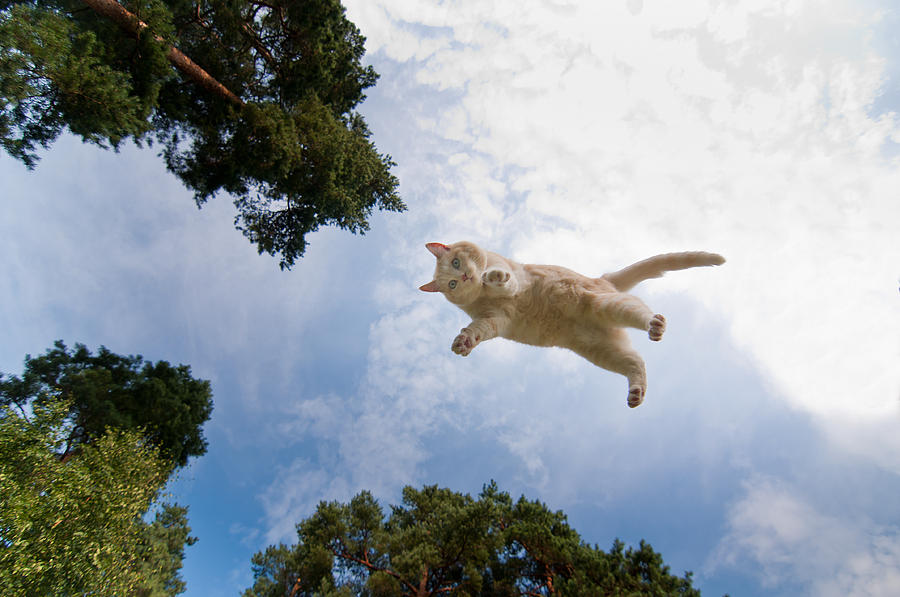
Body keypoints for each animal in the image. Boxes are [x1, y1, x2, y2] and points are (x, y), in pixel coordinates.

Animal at [420, 240, 724, 408]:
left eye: (457, 262)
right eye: (452, 283)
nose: (466, 278)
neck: (481, 295)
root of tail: (602, 278)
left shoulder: (517, 279)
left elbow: (505, 280)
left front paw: (492, 277)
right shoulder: (494, 320)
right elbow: (476, 331)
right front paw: (463, 342)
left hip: (608, 304)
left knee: (643, 313)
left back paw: (655, 325)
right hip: (603, 351)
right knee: (636, 361)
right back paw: (636, 393)